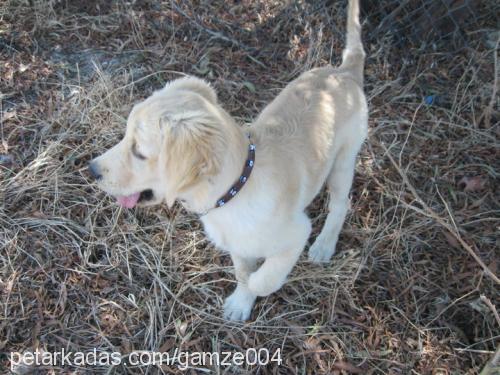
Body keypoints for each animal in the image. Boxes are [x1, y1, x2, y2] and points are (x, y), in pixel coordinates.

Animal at [88, 0, 368, 322]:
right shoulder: (238, 245)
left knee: (341, 203)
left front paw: (255, 288)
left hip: (343, 161)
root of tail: (345, 73)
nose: (91, 170)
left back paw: (324, 245)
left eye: (139, 152)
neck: (236, 190)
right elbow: (243, 273)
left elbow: (264, 278)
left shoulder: (296, 234)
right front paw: (241, 301)